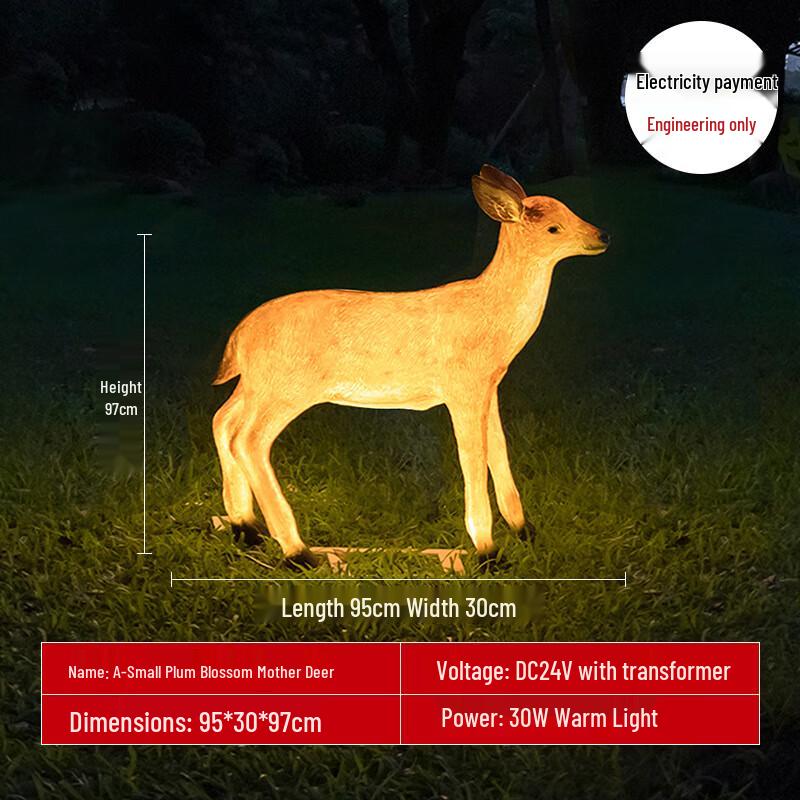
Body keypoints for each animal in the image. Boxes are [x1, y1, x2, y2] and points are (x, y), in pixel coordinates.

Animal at [212, 165, 609, 569]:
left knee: (224, 421)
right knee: (250, 439)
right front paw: (488, 551)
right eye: (553, 228)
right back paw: (297, 551)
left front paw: (524, 531)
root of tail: (239, 338)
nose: (602, 236)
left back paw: (245, 528)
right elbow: (472, 458)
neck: (490, 315)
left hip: (257, 384)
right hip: (288, 387)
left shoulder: (489, 385)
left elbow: (499, 450)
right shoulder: (461, 386)